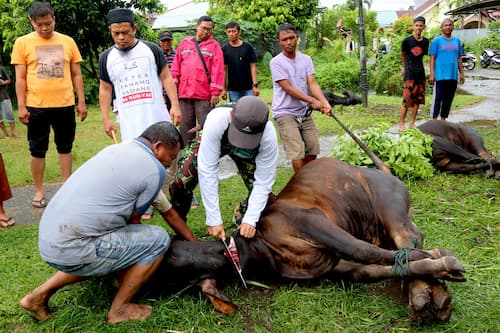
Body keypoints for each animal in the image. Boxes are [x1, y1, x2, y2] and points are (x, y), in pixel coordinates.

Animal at [151, 158, 464, 322]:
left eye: (167, 256)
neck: (260, 250)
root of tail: (386, 172)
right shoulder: (336, 266)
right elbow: (383, 267)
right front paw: (438, 268)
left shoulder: (315, 222)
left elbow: (367, 251)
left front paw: (444, 261)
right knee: (408, 243)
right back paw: (430, 295)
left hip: (391, 211)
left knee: (409, 239)